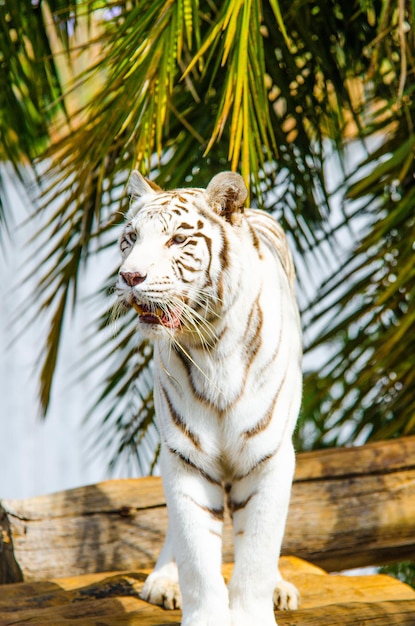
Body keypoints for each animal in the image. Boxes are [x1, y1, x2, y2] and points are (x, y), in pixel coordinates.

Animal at [116, 169, 302, 624]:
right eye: (131, 237)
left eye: (178, 240)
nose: (130, 277)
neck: (211, 345)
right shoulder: (185, 456)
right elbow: (197, 556)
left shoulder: (269, 455)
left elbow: (256, 555)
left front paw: (254, 611)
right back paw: (164, 581)